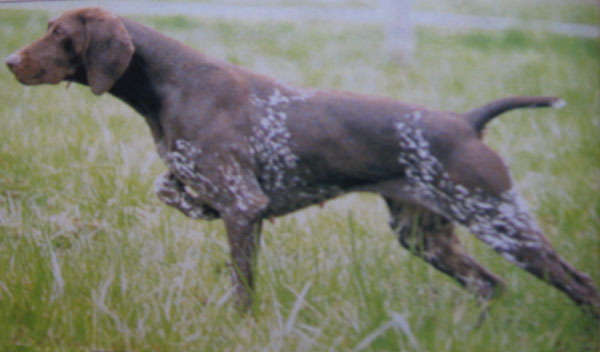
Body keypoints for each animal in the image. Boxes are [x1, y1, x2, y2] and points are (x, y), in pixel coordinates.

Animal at [5, 6, 600, 314]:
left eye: (59, 33)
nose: (9, 60)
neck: (171, 84)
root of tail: (467, 120)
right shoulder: (218, 192)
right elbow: (169, 188)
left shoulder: (243, 204)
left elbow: (242, 286)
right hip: (425, 235)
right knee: (489, 286)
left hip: (500, 222)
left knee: (578, 285)